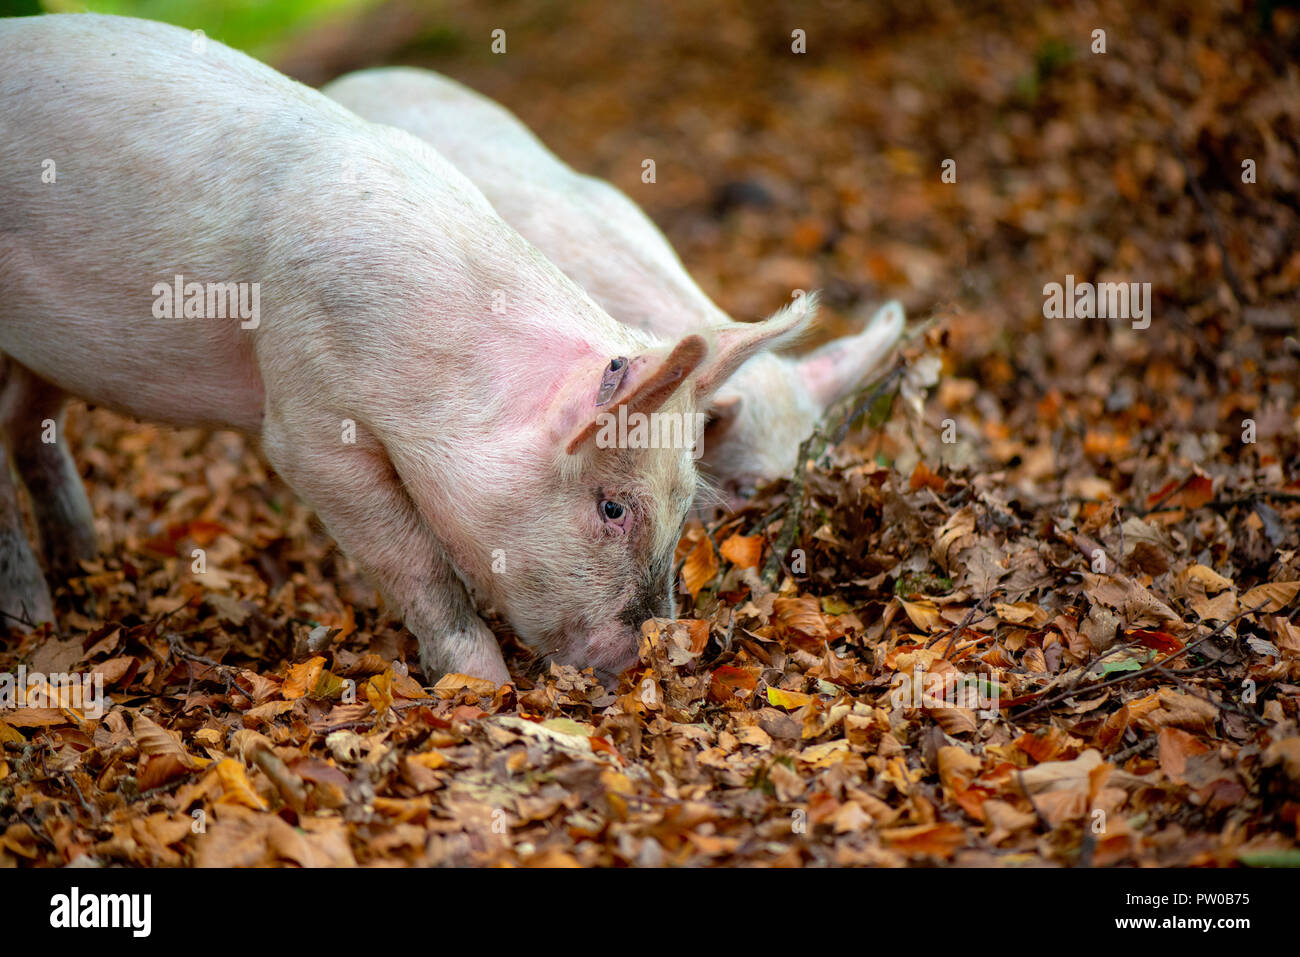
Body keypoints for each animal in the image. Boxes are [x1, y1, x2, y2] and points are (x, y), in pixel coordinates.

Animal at [2, 16, 811, 686]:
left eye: (685, 503)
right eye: (613, 507)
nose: (646, 660)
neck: (447, 376)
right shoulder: (306, 422)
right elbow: (415, 560)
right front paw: (485, 690)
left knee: (27, 426)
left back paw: (81, 563)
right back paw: (32, 616)